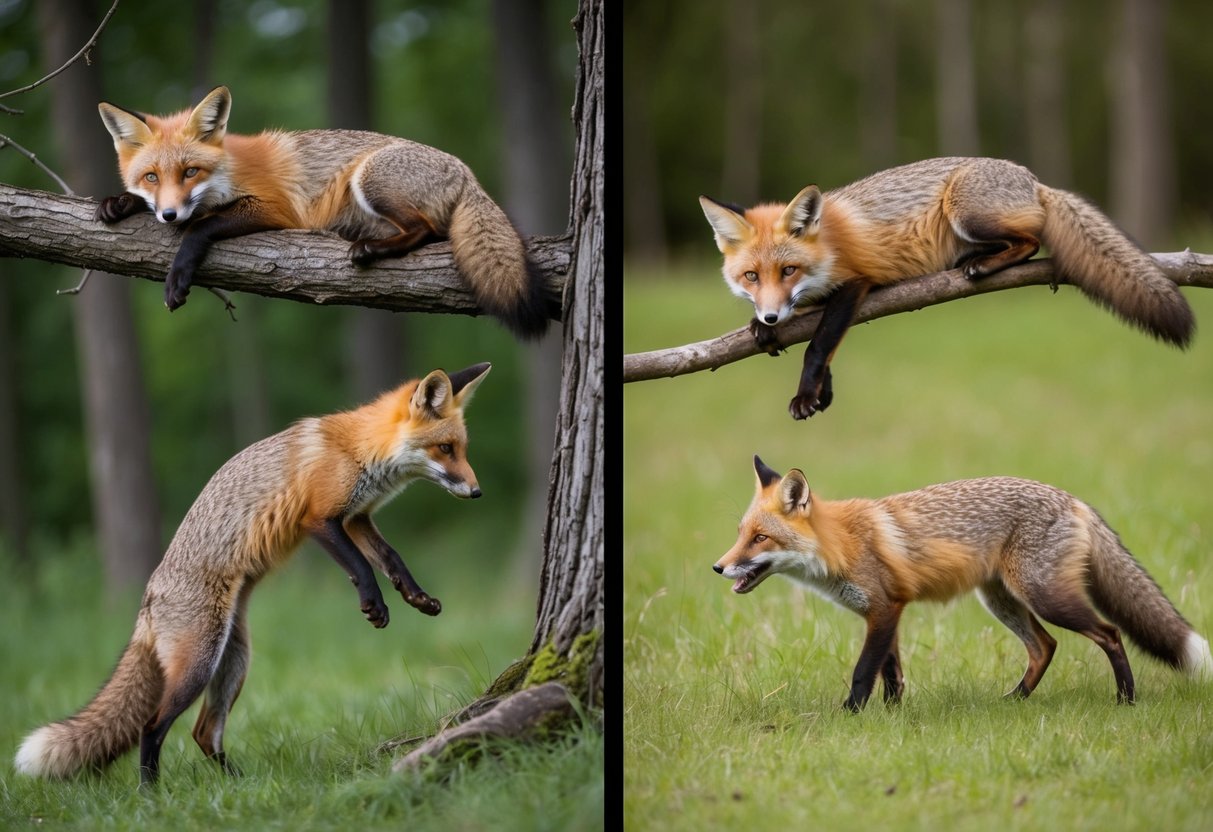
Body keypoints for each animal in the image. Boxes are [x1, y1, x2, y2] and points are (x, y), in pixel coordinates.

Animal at [14, 362, 490, 785]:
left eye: (462, 448)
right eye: (445, 449)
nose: (477, 491)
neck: (360, 449)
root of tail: (147, 601)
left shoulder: (356, 517)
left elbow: (392, 558)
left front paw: (417, 598)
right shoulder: (320, 518)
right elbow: (360, 567)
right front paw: (374, 605)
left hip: (234, 662)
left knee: (204, 733)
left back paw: (238, 785)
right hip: (200, 663)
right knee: (152, 726)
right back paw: (151, 795)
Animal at [95, 85, 550, 339]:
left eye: (191, 172)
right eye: (152, 177)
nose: (169, 216)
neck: (229, 169)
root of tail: (466, 171)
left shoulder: (275, 208)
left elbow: (201, 227)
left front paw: (178, 275)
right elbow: (160, 206)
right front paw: (119, 203)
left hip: (370, 180)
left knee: (427, 230)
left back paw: (371, 250)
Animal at [699, 158, 1196, 420]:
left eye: (788, 271)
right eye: (751, 277)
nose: (769, 316)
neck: (828, 246)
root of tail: (1034, 179)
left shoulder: (857, 282)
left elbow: (817, 346)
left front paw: (807, 393)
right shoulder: (822, 301)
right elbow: (825, 344)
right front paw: (813, 383)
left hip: (966, 212)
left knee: (1032, 241)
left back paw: (983, 265)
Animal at [714, 455, 1213, 711]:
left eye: (759, 539)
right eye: (739, 534)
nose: (718, 568)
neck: (841, 544)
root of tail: (1074, 499)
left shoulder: (884, 610)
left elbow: (863, 672)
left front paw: (849, 716)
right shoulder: (887, 612)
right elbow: (892, 674)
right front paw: (892, 716)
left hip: (1046, 597)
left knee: (1108, 633)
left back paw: (1125, 698)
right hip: (1001, 600)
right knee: (1045, 647)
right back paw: (1014, 700)